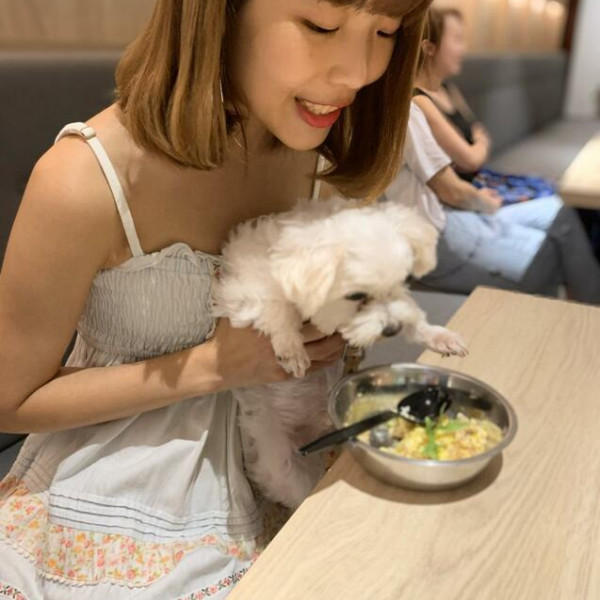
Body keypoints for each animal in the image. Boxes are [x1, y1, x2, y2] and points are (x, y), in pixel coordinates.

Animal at [212, 197, 467, 508]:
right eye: (356, 296)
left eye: (403, 281)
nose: (392, 330)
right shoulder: (244, 292)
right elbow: (277, 308)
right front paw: (291, 348)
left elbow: (412, 318)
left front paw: (440, 337)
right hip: (279, 464)